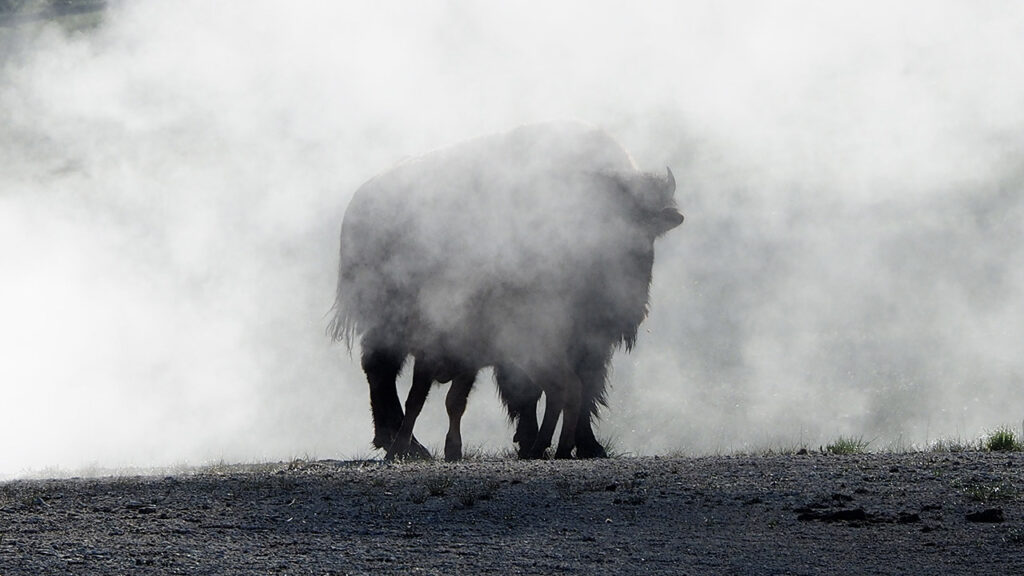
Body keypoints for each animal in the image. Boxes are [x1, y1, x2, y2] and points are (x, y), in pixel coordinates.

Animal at [329, 120, 679, 457]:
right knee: (380, 370)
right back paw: (405, 444)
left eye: (651, 224)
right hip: (388, 322)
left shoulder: (589, 339)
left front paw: (588, 445)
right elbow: (527, 390)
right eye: (605, 217)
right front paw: (531, 440)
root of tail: (359, 202)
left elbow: (583, 386)